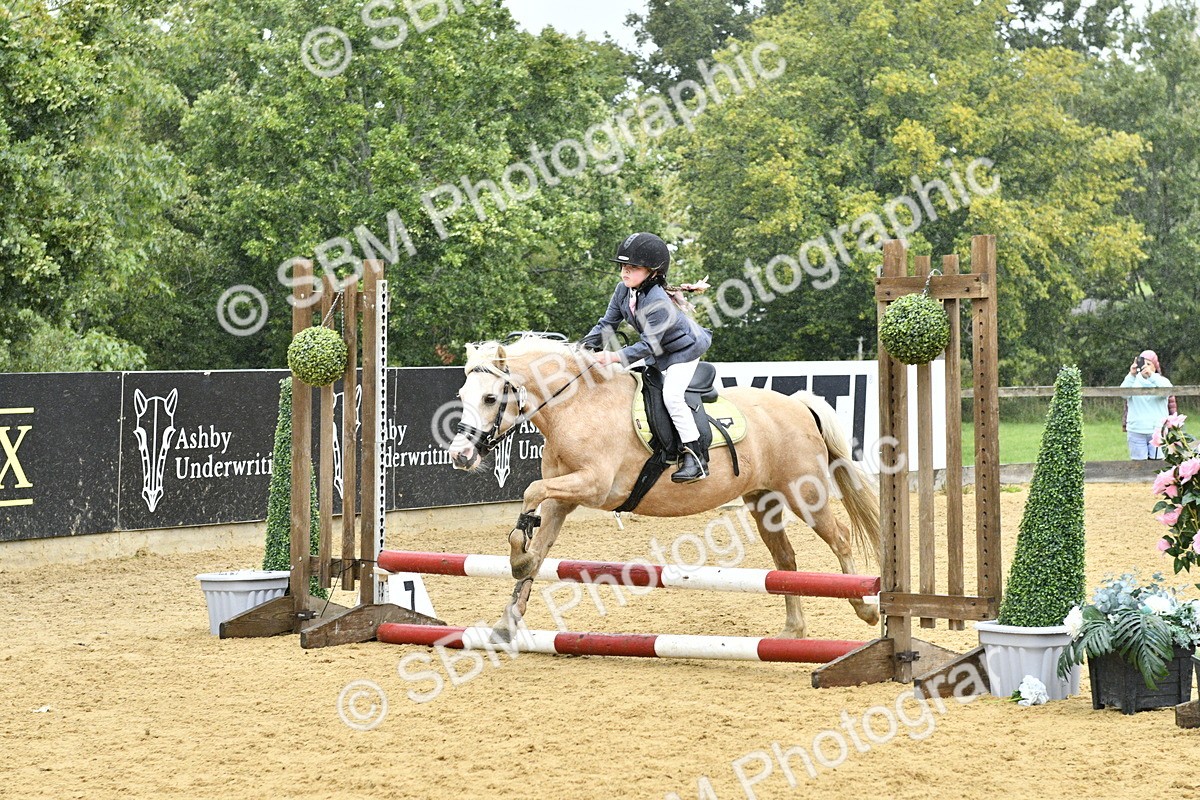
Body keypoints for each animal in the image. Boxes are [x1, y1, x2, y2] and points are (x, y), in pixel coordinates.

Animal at [447, 337, 881, 641]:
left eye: (491, 397)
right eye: (461, 396)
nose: (460, 455)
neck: (576, 405)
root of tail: (798, 404)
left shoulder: (593, 485)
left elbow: (532, 491)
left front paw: (519, 548)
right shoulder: (564, 499)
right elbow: (538, 550)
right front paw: (509, 614)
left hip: (803, 495)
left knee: (841, 538)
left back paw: (866, 608)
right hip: (765, 501)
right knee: (786, 560)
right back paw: (793, 629)